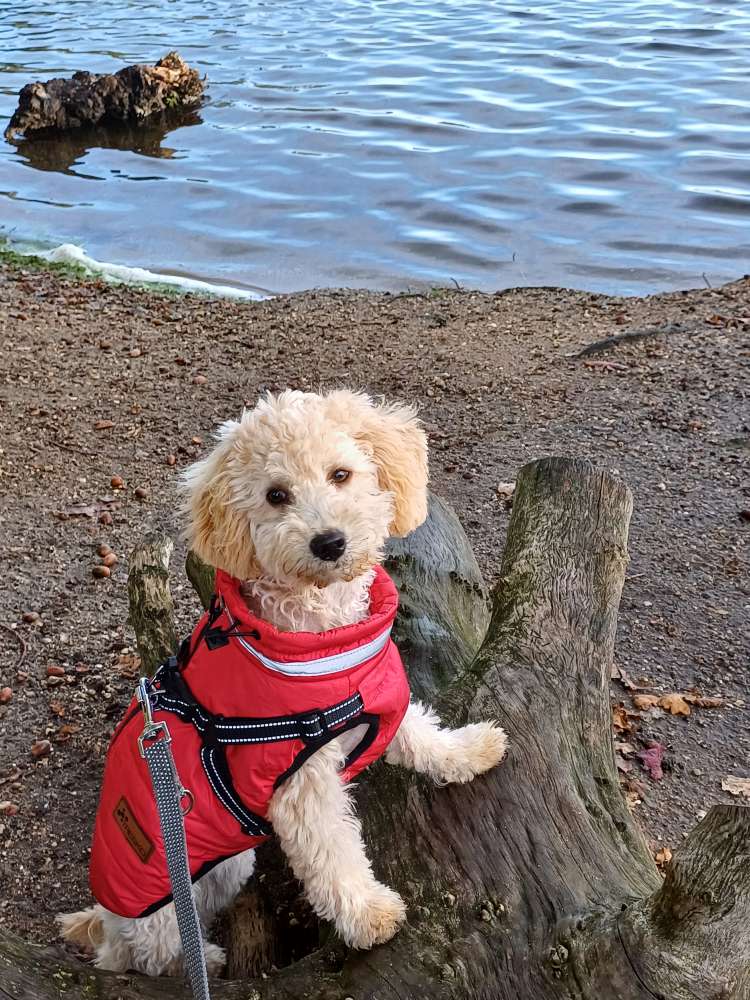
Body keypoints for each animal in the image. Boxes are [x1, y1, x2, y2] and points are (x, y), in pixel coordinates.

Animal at [57, 390, 506, 976]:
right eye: (276, 495)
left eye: (341, 474)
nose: (329, 542)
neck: (323, 638)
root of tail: (107, 919)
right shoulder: (300, 786)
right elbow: (332, 855)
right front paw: (368, 916)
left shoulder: (373, 692)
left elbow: (419, 733)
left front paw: (469, 750)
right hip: (160, 900)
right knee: (153, 952)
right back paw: (205, 958)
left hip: (229, 863)